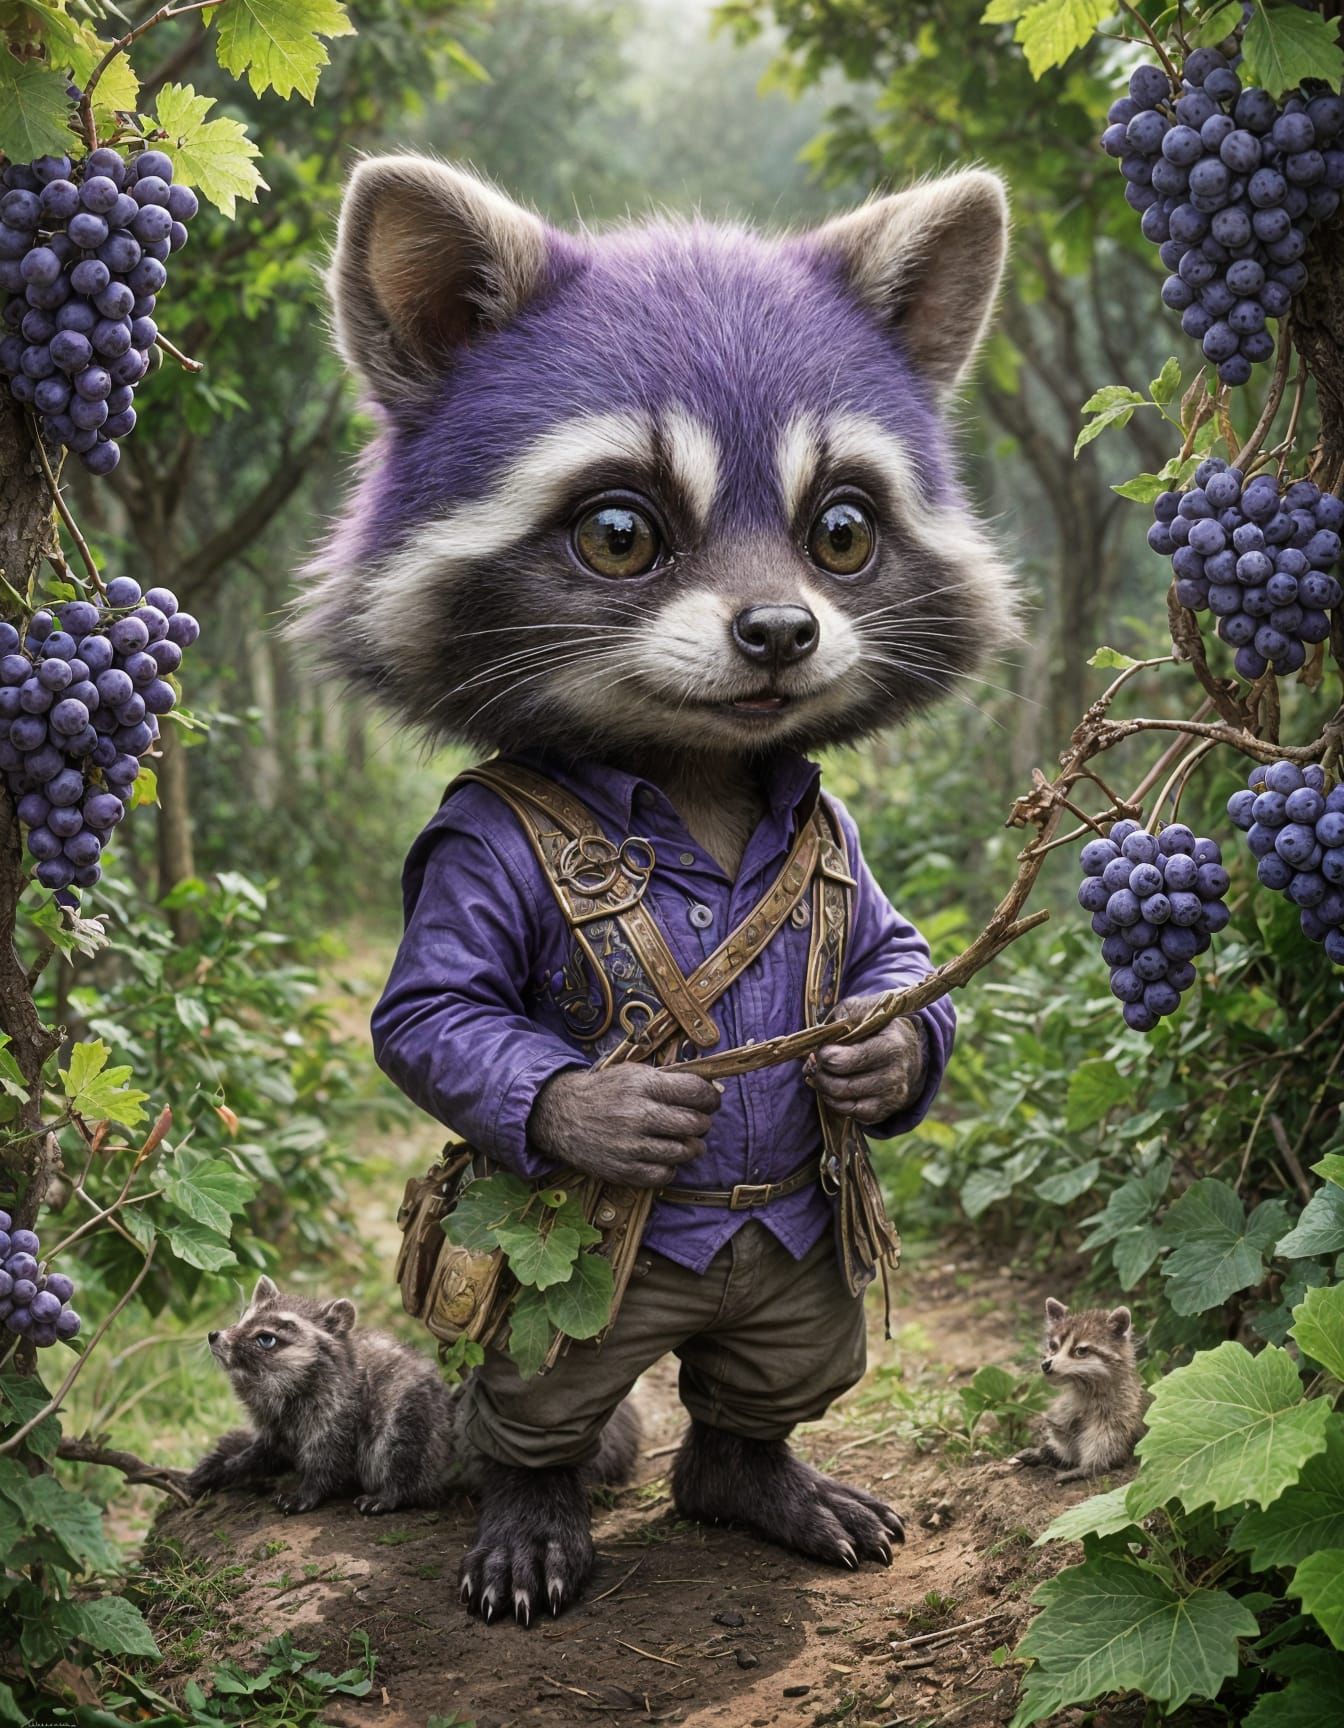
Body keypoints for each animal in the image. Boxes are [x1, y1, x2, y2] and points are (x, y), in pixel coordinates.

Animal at [1013, 1297, 1147, 1485]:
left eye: (1080, 1350)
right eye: (1053, 1346)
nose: (1046, 1365)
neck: (1080, 1383)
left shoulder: (1121, 1408)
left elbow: (1107, 1441)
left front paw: (1088, 1466)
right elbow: (1063, 1428)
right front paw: (1049, 1451)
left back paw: (1084, 1468)